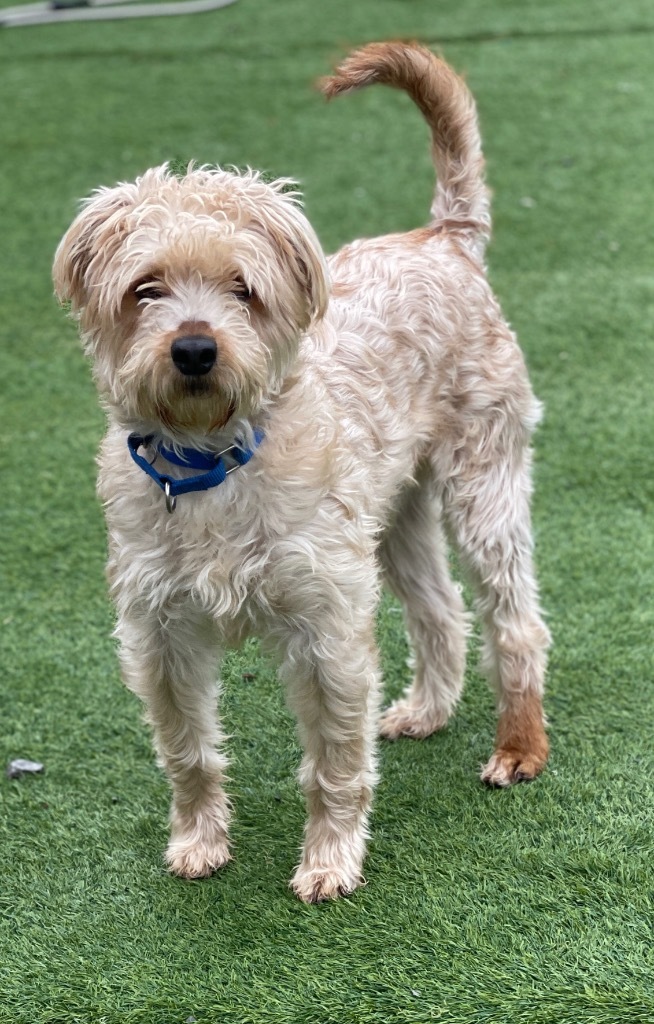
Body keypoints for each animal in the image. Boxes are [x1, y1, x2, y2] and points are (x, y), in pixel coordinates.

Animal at [53, 44, 548, 901]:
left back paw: (518, 747)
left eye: (242, 289)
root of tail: (441, 237)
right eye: (145, 288)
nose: (194, 348)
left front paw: (329, 861)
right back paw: (427, 709)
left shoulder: (326, 625)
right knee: (440, 606)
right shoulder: (159, 634)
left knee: (515, 619)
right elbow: (187, 752)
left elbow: (334, 763)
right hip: (395, 513)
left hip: (483, 485)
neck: (215, 464)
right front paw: (199, 842)